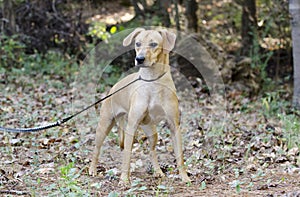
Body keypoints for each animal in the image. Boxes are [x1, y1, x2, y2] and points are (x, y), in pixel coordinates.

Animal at [88, 27, 190, 185]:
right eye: (137, 43)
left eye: (154, 44)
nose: (139, 59)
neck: (153, 81)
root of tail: (113, 88)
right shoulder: (132, 125)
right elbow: (127, 156)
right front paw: (124, 179)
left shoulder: (174, 125)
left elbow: (179, 156)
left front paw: (184, 177)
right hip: (104, 125)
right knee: (97, 148)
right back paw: (93, 169)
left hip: (151, 131)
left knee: (152, 150)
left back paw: (158, 171)